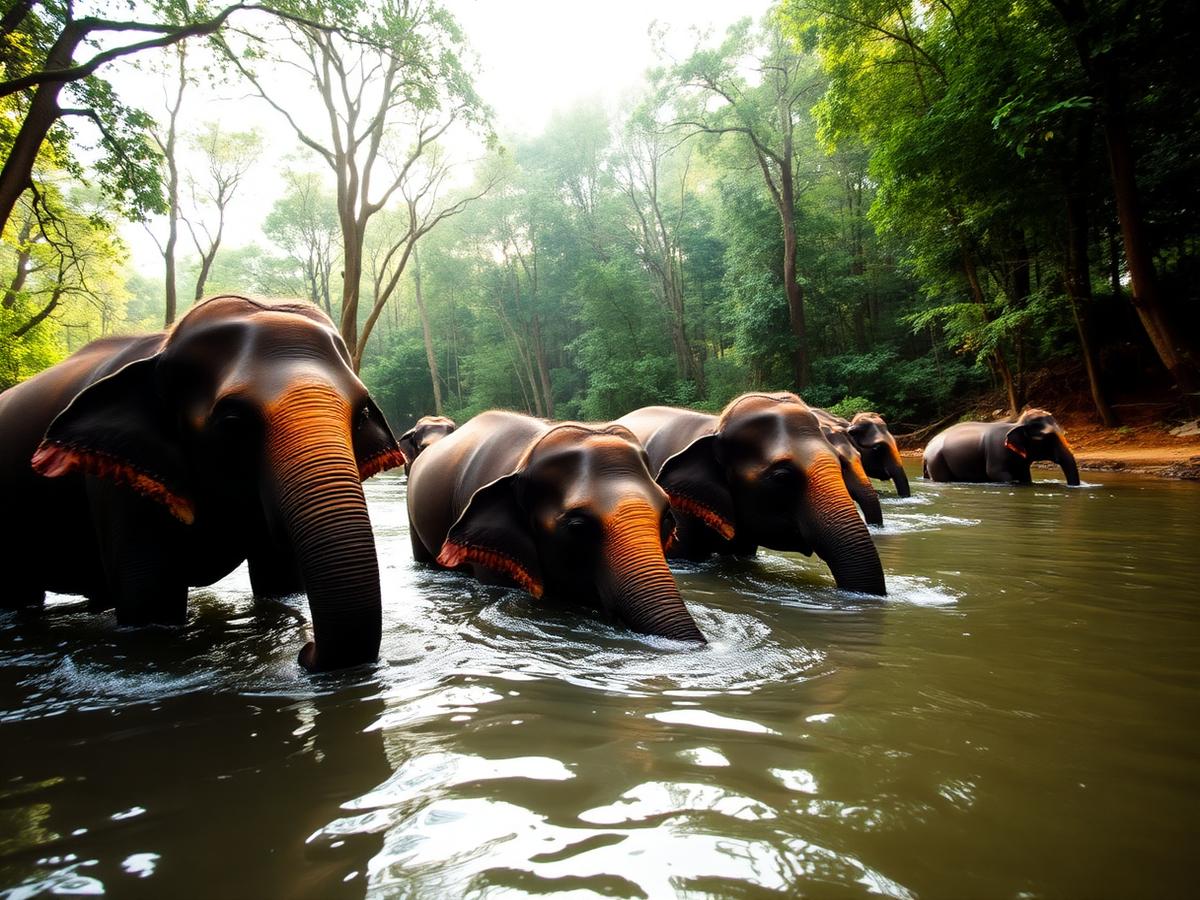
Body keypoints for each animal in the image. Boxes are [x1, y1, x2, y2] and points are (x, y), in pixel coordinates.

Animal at [0, 295, 407, 671]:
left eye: (362, 414)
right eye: (232, 421)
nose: (305, 650)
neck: (163, 346)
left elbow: (278, 580)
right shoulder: (118, 485)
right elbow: (150, 601)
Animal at [922, 408, 1081, 486]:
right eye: (1047, 437)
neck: (1016, 424)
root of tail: (926, 450)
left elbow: (1025, 477)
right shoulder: (996, 453)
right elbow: (996, 473)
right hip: (937, 461)